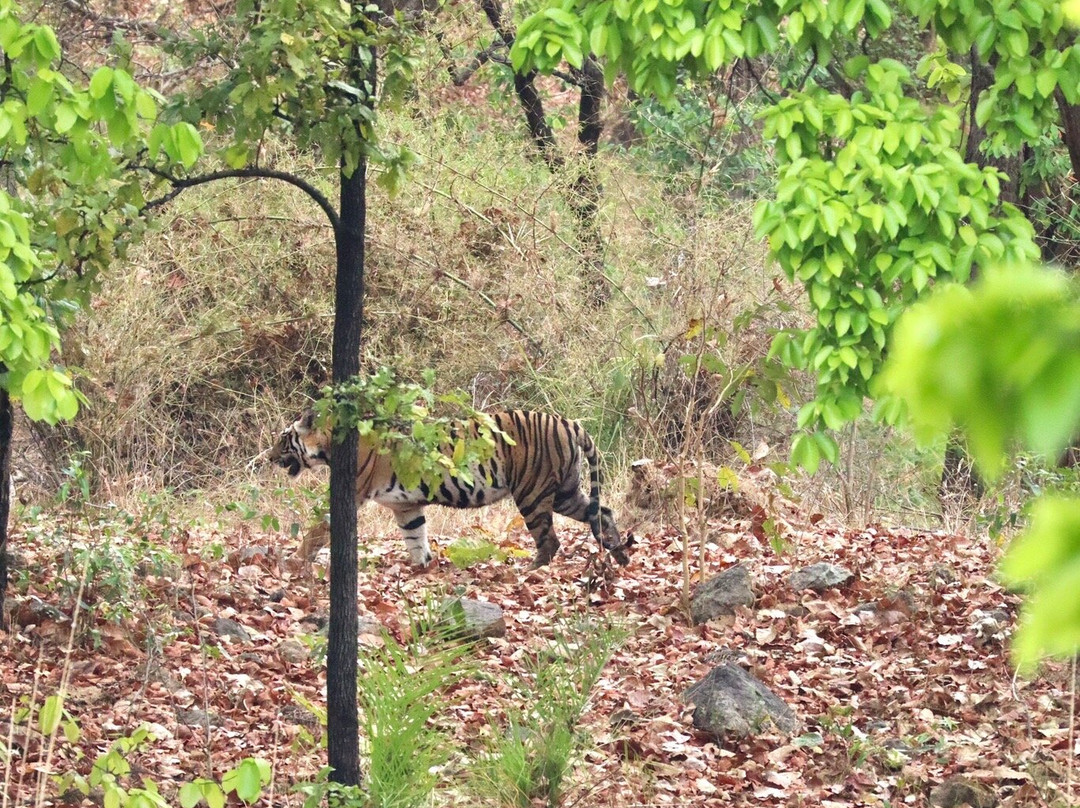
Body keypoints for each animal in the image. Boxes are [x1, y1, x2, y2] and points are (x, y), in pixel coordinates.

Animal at [268, 409, 634, 569]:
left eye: (283, 439)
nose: (269, 458)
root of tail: (566, 421)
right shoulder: (406, 506)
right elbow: (415, 536)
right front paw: (421, 567)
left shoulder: (352, 492)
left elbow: (318, 529)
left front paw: (295, 560)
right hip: (564, 491)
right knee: (602, 511)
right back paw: (619, 554)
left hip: (533, 492)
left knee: (549, 540)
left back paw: (532, 569)